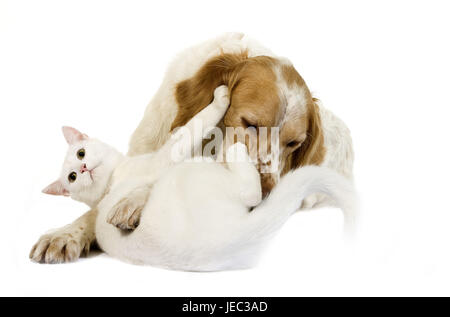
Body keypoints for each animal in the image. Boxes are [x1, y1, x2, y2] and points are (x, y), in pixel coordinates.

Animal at [37, 86, 356, 270]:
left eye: (80, 153)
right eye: (72, 177)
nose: (84, 168)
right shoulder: (172, 152)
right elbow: (198, 122)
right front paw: (220, 98)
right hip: (206, 172)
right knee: (249, 189)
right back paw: (238, 153)